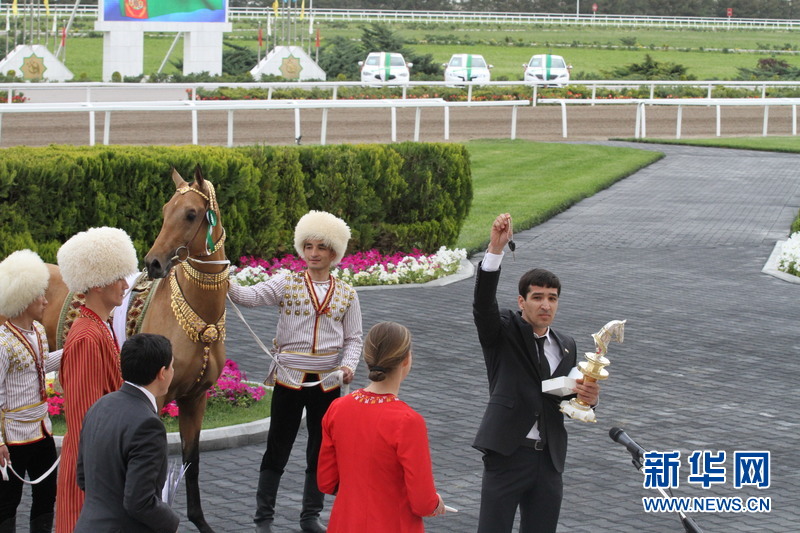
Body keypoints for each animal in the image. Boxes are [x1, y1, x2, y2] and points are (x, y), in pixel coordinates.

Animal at [31, 166, 229, 533]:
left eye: (190, 214)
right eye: (165, 211)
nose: (154, 263)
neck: (199, 318)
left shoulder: (195, 398)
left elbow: (191, 462)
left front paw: (199, 521)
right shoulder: (157, 396)